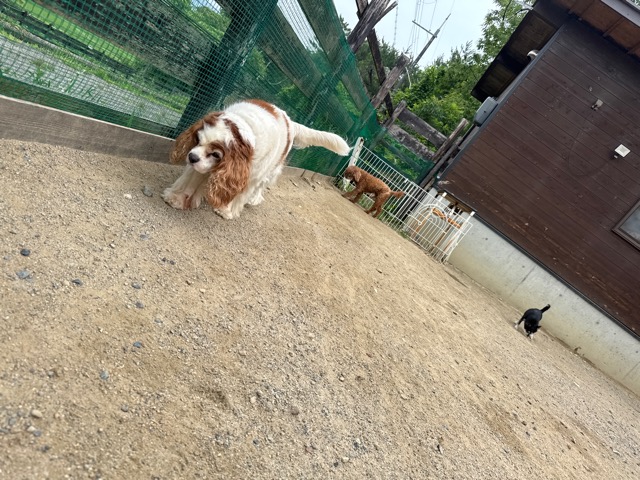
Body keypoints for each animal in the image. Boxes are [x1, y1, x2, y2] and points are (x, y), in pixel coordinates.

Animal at [162, 99, 350, 219]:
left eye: (216, 154)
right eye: (198, 139)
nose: (192, 157)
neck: (245, 128)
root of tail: (289, 120)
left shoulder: (251, 173)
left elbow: (242, 193)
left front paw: (227, 211)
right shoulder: (203, 166)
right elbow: (191, 179)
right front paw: (177, 198)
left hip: (272, 168)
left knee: (263, 184)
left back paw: (254, 199)